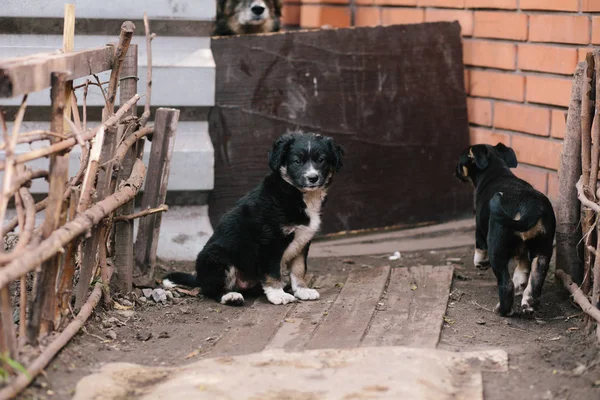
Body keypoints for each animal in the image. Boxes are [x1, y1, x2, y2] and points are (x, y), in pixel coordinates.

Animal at [163, 131, 342, 306]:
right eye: (297, 161)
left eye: (321, 160)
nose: (312, 178)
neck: (296, 194)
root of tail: (199, 277)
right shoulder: (270, 242)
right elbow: (273, 272)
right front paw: (278, 295)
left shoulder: (302, 241)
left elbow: (299, 269)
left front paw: (302, 290)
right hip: (217, 256)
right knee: (210, 289)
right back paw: (230, 296)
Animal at [454, 143, 556, 316]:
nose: (455, 171)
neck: (496, 170)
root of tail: (529, 205)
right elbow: (523, 265)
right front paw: (520, 281)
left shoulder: (479, 228)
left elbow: (479, 247)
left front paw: (481, 263)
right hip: (543, 249)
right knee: (536, 278)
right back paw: (529, 303)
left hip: (497, 245)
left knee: (506, 284)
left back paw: (502, 310)